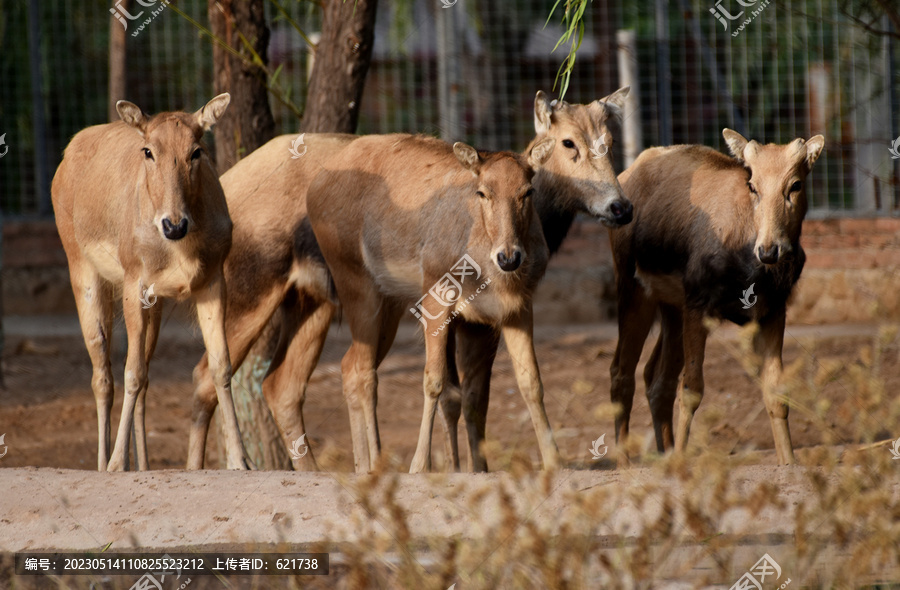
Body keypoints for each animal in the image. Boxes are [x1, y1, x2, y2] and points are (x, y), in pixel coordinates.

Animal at [51, 93, 251, 472]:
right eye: (148, 151)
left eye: (197, 150)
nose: (174, 224)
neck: (180, 251)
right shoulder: (134, 280)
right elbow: (130, 372)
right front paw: (116, 464)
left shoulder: (213, 279)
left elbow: (221, 365)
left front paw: (241, 460)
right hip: (80, 264)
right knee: (103, 373)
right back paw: (104, 462)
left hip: (154, 303)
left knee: (143, 376)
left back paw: (141, 465)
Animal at [312, 135, 564, 476]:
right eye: (482, 191)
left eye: (528, 191)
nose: (509, 257)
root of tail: (312, 191)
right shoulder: (435, 295)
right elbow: (433, 380)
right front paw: (420, 464)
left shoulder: (516, 308)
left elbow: (530, 382)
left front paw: (554, 460)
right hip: (354, 281)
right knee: (363, 371)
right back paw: (375, 463)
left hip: (389, 304)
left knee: (349, 363)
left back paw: (363, 465)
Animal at [608, 130, 828, 468]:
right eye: (752, 184)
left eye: (795, 184)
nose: (769, 250)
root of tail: (625, 175)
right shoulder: (699, 305)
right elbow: (692, 389)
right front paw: (683, 459)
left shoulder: (773, 312)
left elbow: (776, 394)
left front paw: (789, 461)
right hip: (633, 288)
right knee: (621, 372)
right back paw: (625, 463)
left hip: (671, 305)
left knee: (656, 378)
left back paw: (664, 452)